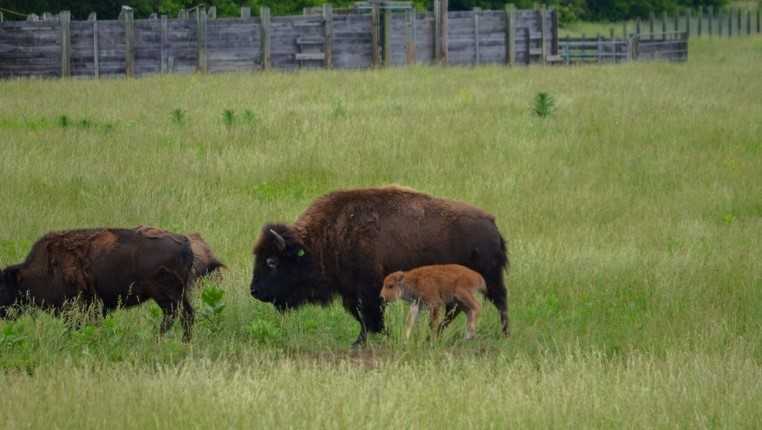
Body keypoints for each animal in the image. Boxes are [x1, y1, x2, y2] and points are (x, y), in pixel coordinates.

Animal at [1, 227, 196, 340]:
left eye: (2, 287)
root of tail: (185, 243)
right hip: (178, 294)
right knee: (186, 315)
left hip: (166, 295)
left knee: (175, 315)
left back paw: (158, 338)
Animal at [251, 186, 510, 346]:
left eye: (272, 262)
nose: (254, 291)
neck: (325, 237)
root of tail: (491, 223)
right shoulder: (350, 292)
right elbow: (361, 316)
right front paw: (368, 338)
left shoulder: (368, 289)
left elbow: (369, 315)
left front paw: (369, 339)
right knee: (456, 309)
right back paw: (435, 335)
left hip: (488, 278)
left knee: (499, 302)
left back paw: (504, 334)